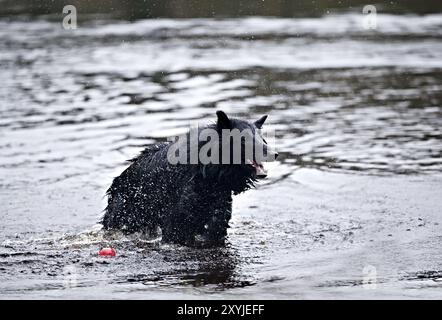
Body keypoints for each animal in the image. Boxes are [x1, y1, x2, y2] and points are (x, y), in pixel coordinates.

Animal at [102, 111, 278, 246]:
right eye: (244, 139)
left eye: (262, 139)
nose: (275, 153)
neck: (210, 175)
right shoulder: (177, 219)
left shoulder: (217, 216)